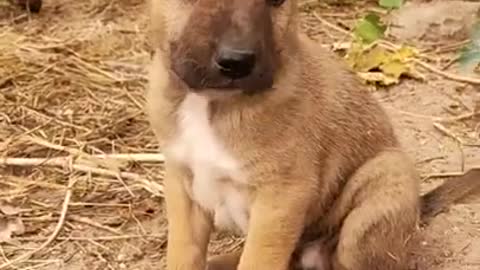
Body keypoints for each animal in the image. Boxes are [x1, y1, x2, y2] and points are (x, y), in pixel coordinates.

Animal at [146, 0, 480, 270]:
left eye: (277, 0)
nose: (238, 62)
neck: (212, 105)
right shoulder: (181, 186)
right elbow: (183, 254)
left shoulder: (281, 199)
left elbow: (257, 260)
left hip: (382, 186)